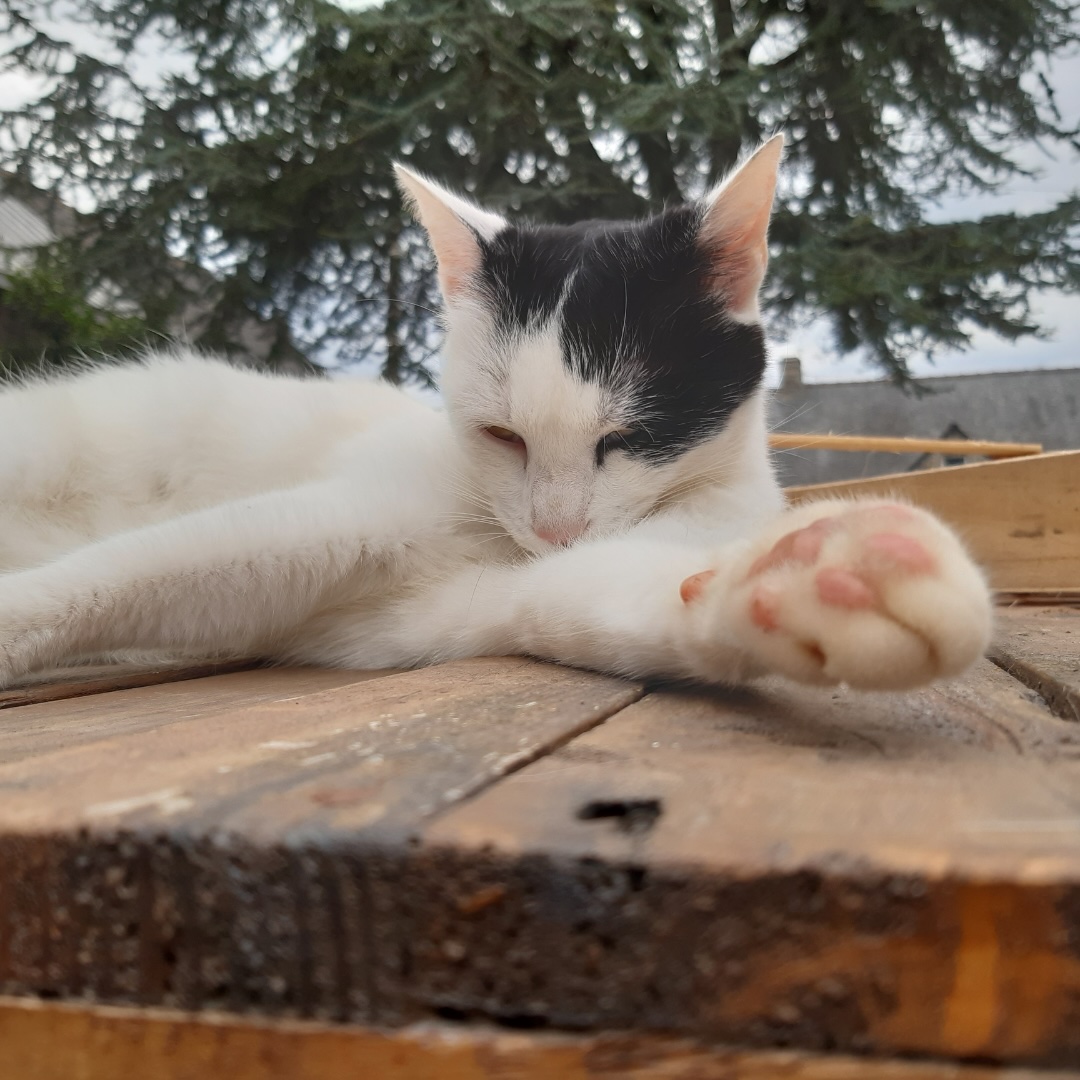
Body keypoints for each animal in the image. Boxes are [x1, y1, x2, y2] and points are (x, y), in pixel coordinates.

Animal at [0, 137, 989, 691]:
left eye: (629, 438)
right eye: (502, 435)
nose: (554, 531)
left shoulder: (490, 599)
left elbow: (627, 597)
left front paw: (822, 576)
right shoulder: (320, 520)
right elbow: (113, 577)